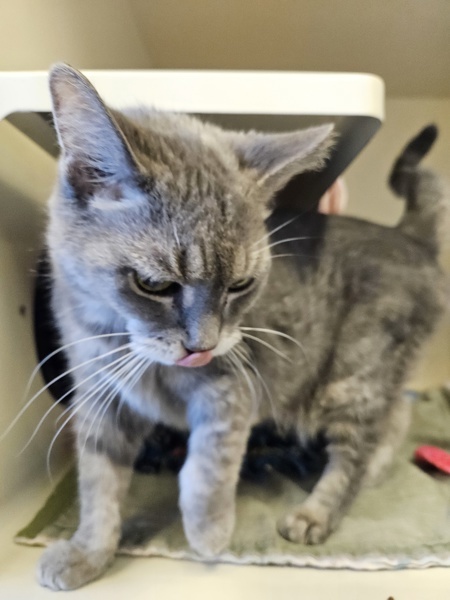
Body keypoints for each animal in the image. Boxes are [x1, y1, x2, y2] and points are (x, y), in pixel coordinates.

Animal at [37, 65, 444, 592]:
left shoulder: (231, 388)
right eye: (154, 284)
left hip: (355, 376)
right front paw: (88, 552)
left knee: (360, 447)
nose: (202, 346)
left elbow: (208, 465)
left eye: (242, 285)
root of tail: (410, 238)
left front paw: (207, 531)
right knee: (396, 415)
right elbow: (98, 485)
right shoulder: (100, 400)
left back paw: (318, 511)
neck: (117, 338)